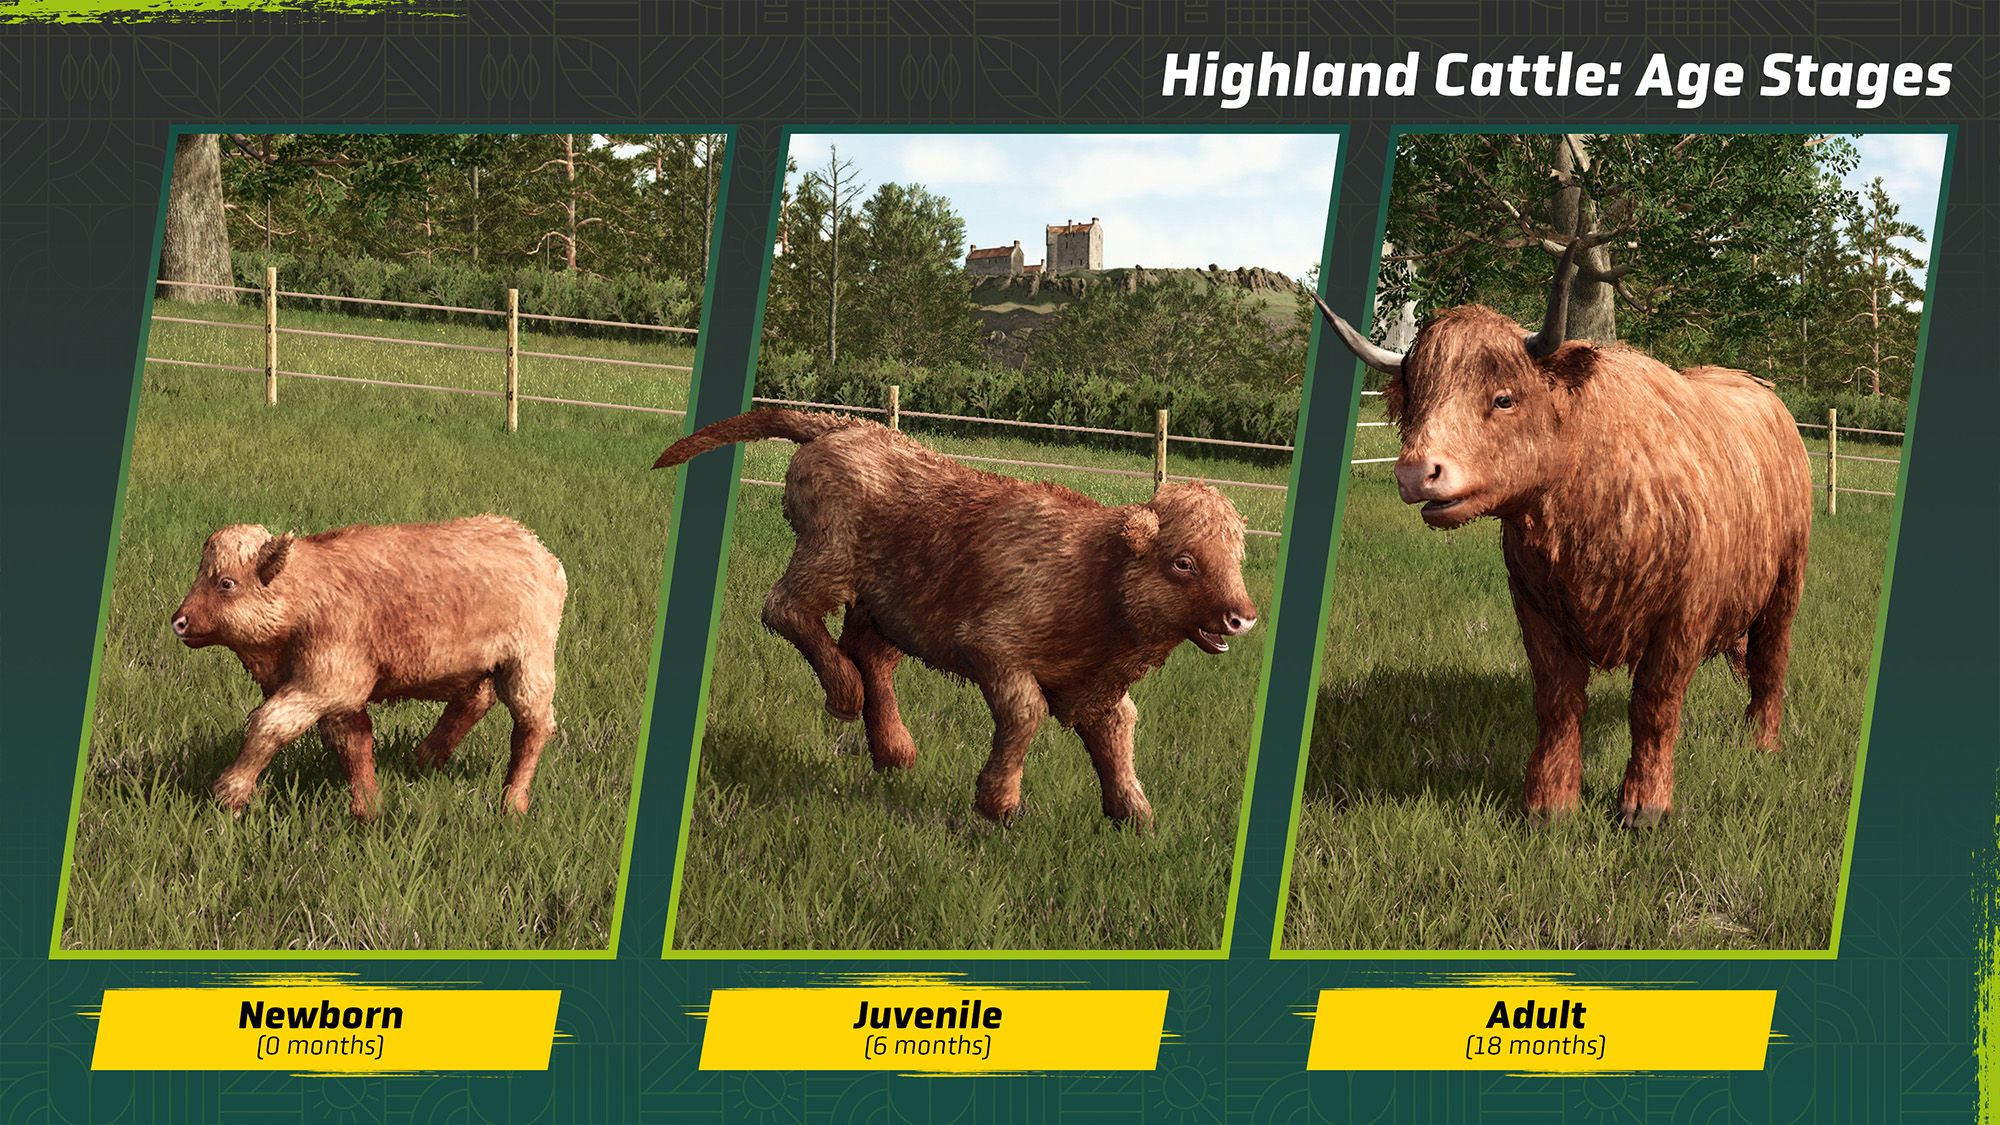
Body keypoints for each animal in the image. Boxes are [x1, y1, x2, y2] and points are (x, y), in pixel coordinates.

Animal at [170, 515, 567, 819]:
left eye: (226, 583)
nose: (180, 622)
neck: (306, 594)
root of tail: (537, 549)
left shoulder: (326, 685)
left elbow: (269, 723)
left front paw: (228, 795)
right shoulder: (340, 698)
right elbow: (354, 743)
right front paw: (368, 808)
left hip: (527, 666)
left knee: (533, 726)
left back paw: (512, 804)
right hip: (471, 668)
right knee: (476, 701)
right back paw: (424, 759)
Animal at [653, 410, 1260, 827]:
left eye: (1237, 558)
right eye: (1183, 562)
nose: (1243, 618)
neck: (1098, 569)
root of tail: (841, 425)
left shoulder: (1097, 687)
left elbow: (1117, 736)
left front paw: (1136, 817)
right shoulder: (992, 648)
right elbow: (1026, 713)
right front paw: (999, 805)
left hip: (886, 606)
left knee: (869, 655)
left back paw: (895, 752)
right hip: (827, 562)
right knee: (786, 609)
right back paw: (845, 696)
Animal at [1314, 245, 1813, 827]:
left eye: (1504, 399)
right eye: (1416, 399)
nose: (1416, 473)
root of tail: (1758, 389)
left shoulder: (1683, 617)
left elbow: (1654, 705)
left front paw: (1645, 805)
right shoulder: (1536, 610)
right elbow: (1558, 702)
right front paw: (1548, 804)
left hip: (1786, 586)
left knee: (1770, 661)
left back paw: (1762, 743)